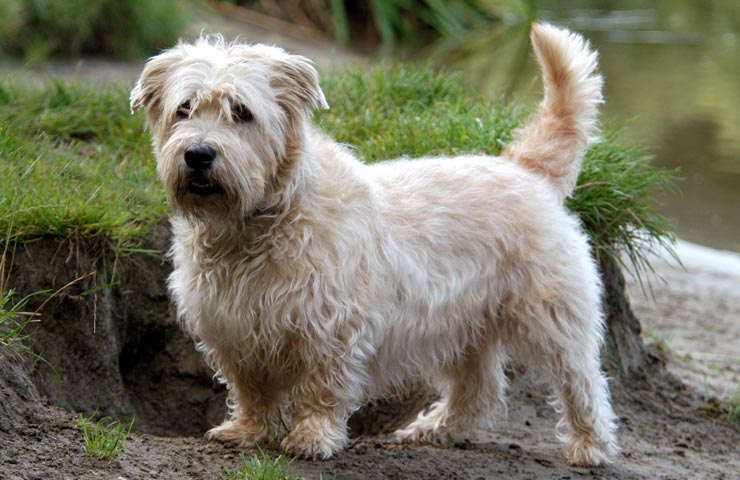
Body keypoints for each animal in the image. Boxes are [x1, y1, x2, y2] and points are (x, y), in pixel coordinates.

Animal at [132, 22, 620, 464]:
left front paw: (312, 438)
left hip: (554, 318)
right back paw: (434, 429)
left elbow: (321, 387)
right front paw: (246, 431)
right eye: (184, 108)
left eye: (241, 112)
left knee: (582, 382)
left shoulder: (328, 327)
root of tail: (524, 168)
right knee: (479, 390)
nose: (198, 154)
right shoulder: (233, 329)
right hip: (466, 327)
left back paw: (589, 446)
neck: (261, 220)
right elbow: (252, 390)